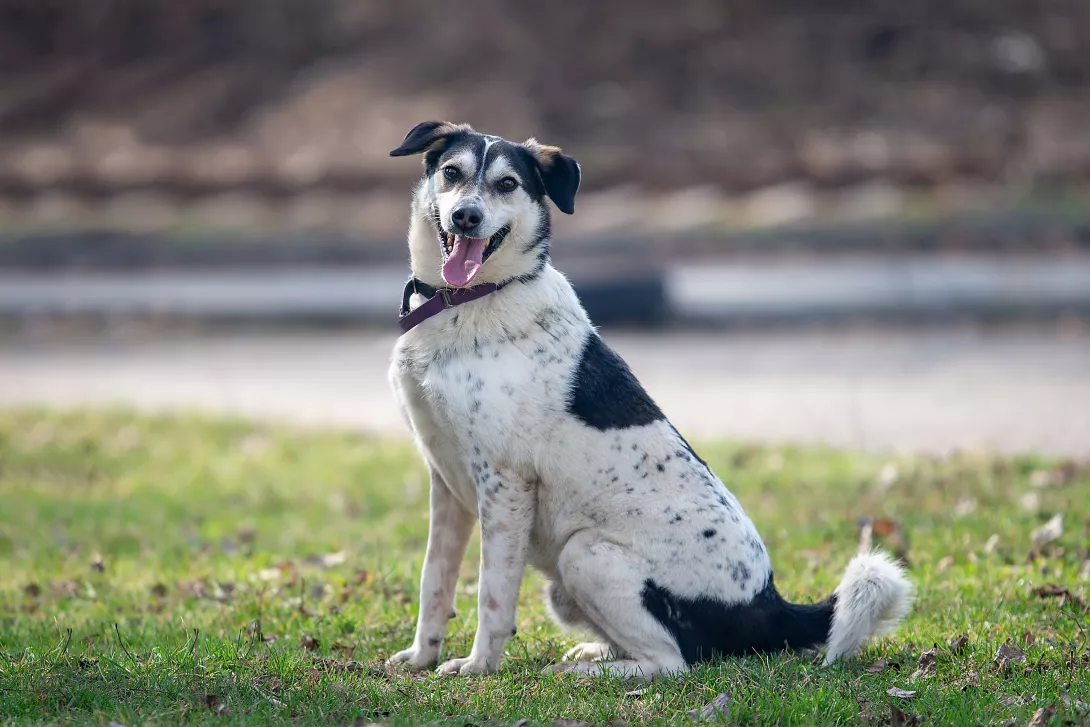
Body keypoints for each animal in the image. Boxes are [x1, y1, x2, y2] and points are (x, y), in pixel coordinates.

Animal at [385, 121, 913, 679]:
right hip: (567, 584)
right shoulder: (445, 482)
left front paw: (479, 665)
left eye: (507, 184)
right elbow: (434, 579)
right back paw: (593, 653)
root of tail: (769, 605)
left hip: (584, 552)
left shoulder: (505, 485)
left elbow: (493, 593)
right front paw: (421, 656)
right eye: (451, 172)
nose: (466, 216)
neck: (468, 300)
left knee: (671, 661)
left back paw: (585, 674)